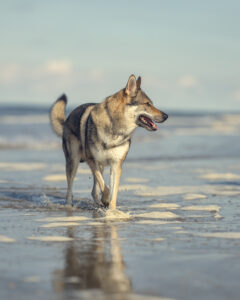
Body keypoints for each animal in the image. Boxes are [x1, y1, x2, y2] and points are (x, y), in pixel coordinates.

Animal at [49, 74, 168, 209]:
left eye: (152, 103)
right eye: (147, 104)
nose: (166, 116)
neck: (115, 126)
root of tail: (66, 120)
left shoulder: (116, 165)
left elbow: (112, 191)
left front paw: (112, 210)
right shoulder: (92, 160)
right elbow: (105, 187)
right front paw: (106, 200)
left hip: (99, 166)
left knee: (94, 191)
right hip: (74, 162)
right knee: (70, 191)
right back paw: (70, 207)